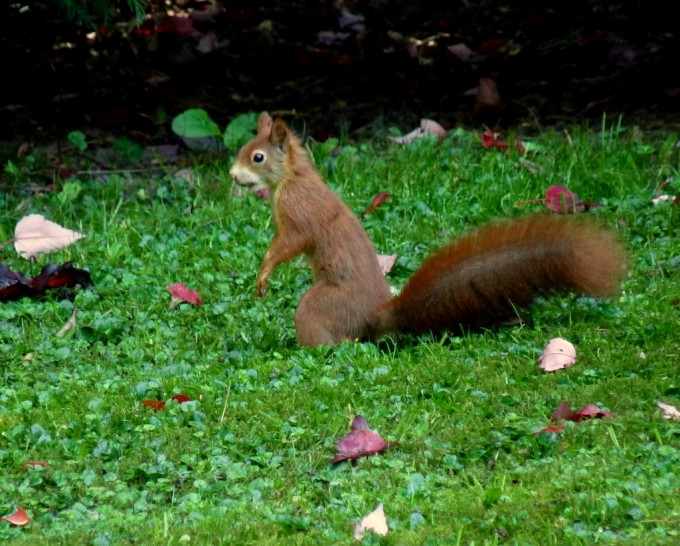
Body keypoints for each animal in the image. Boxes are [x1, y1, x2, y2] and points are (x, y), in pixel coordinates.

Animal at [229, 112, 627, 347]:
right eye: (243, 149)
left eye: (258, 157)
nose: (232, 175)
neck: (292, 177)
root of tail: (375, 314)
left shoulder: (299, 212)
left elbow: (289, 244)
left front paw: (264, 272)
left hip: (323, 306)